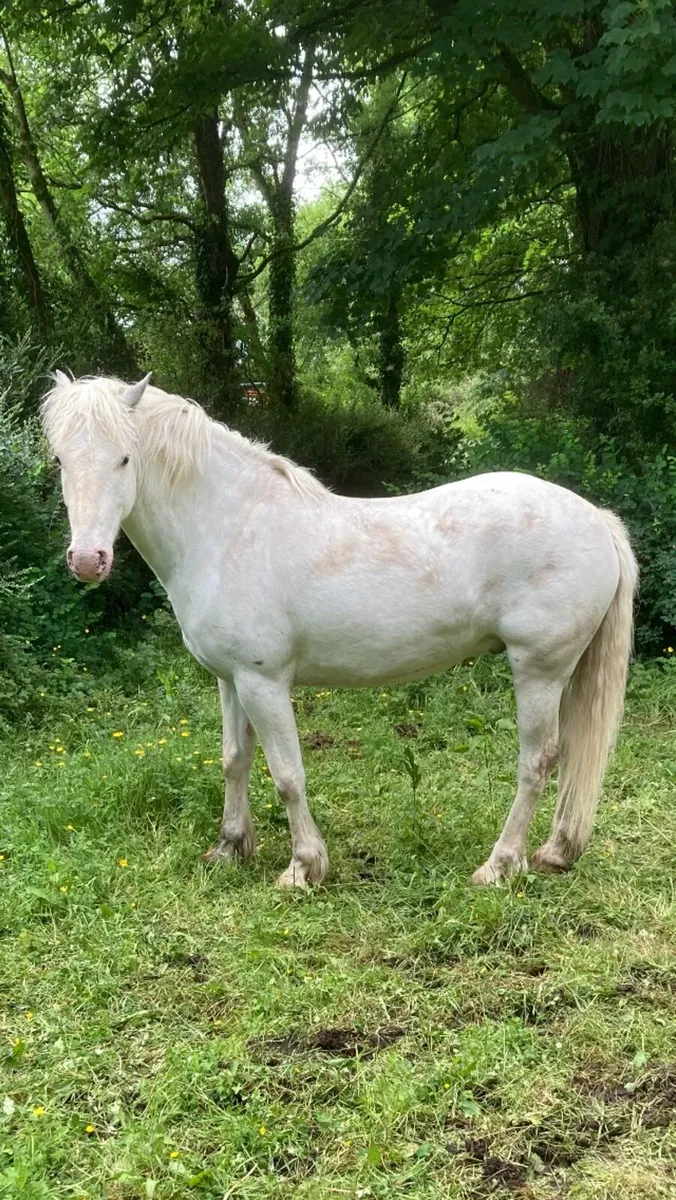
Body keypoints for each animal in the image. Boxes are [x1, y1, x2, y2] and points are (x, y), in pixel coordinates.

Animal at [42, 372, 638, 888]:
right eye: (60, 459)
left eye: (124, 458)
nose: (88, 560)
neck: (228, 527)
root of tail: (596, 519)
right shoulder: (230, 679)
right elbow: (235, 761)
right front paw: (230, 848)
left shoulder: (263, 683)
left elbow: (287, 775)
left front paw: (303, 868)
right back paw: (556, 852)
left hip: (538, 670)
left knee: (537, 762)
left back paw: (499, 865)